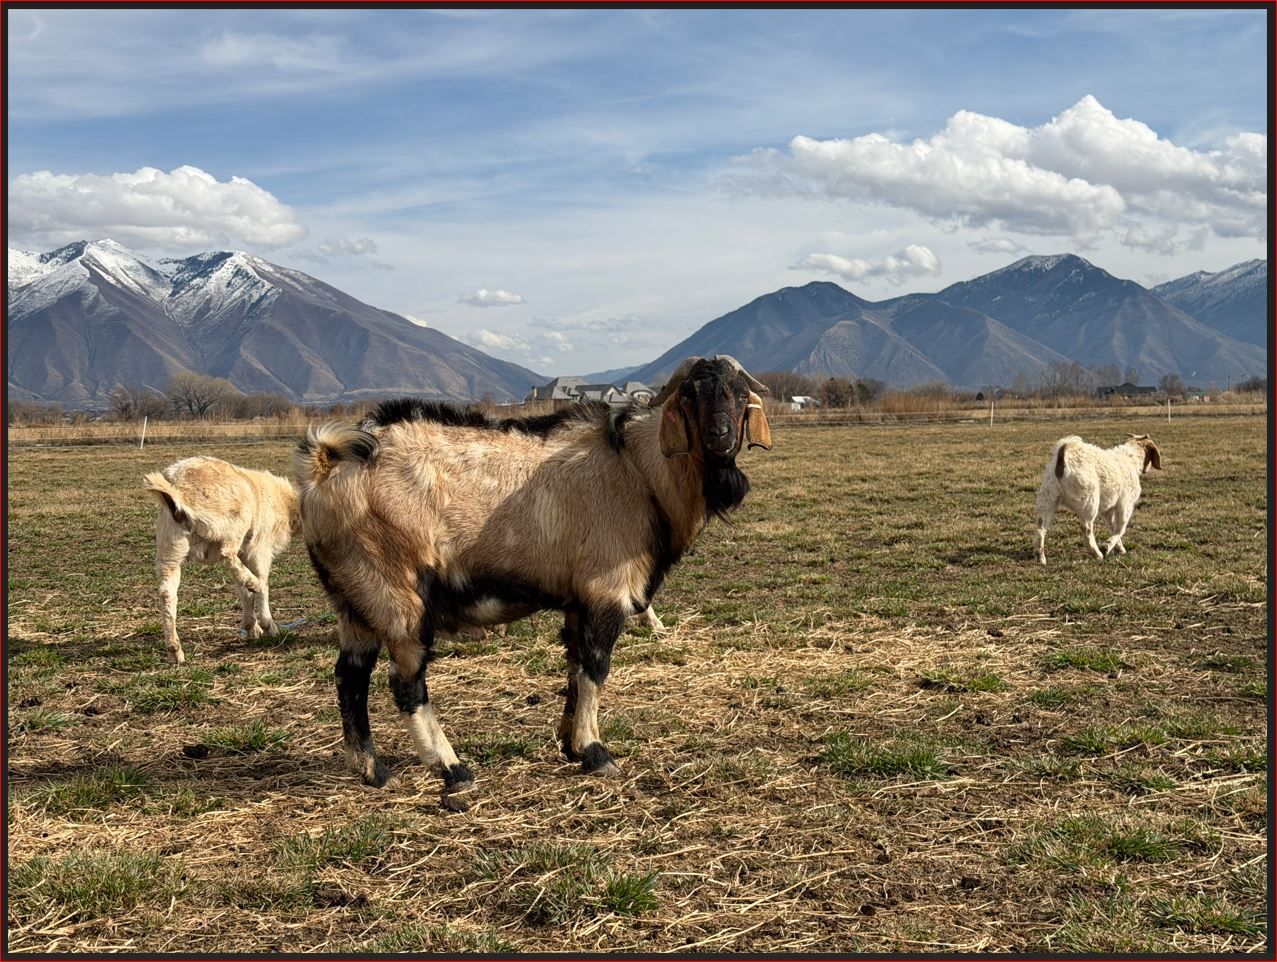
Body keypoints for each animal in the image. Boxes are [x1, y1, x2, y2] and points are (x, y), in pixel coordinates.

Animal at [143, 456, 300, 663]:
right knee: (228, 554)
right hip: (233, 522)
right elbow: (262, 584)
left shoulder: (246, 552)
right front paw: (267, 626)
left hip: (169, 546)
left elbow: (243, 592)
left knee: (166, 594)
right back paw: (253, 583)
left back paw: (174, 650)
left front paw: (251, 627)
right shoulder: (259, 549)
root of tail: (178, 488)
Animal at [295, 355, 772, 790]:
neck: (639, 468)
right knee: (406, 682)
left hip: (353, 597)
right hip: (398, 592)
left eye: (739, 394)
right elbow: (595, 668)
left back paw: (372, 769)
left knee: (350, 676)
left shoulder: (579, 600)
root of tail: (327, 465)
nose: (720, 437)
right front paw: (596, 752)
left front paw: (571, 745)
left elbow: (575, 669)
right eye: (690, 395)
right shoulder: (606, 590)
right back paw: (451, 769)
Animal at [1034, 434, 1161, 564]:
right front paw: (1107, 546)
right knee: (1086, 530)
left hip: (1048, 500)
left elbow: (1113, 527)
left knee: (1040, 528)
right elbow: (1120, 529)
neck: (1131, 458)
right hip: (1089, 502)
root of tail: (1063, 457)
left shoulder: (1109, 509)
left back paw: (1041, 557)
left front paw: (1119, 548)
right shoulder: (1125, 504)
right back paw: (1097, 554)